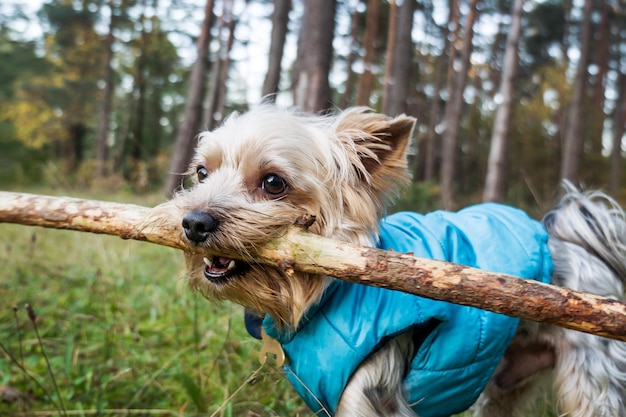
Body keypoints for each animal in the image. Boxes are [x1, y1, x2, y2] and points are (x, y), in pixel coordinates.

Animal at [168, 105, 624, 416]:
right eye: (202, 172)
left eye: (273, 183)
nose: (193, 222)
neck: (321, 297)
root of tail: (568, 239)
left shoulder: (367, 395)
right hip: (505, 381)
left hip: (594, 377)